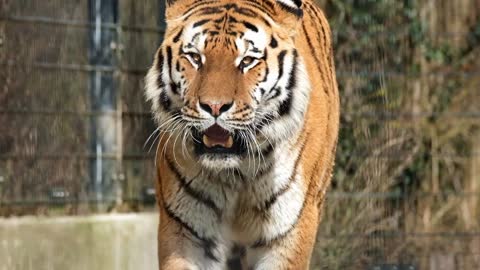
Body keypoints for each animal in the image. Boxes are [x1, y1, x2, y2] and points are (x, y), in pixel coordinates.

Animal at [144, 0, 340, 268]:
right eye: (195, 57)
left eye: (247, 61)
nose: (214, 106)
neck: (237, 173)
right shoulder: (186, 234)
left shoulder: (287, 235)